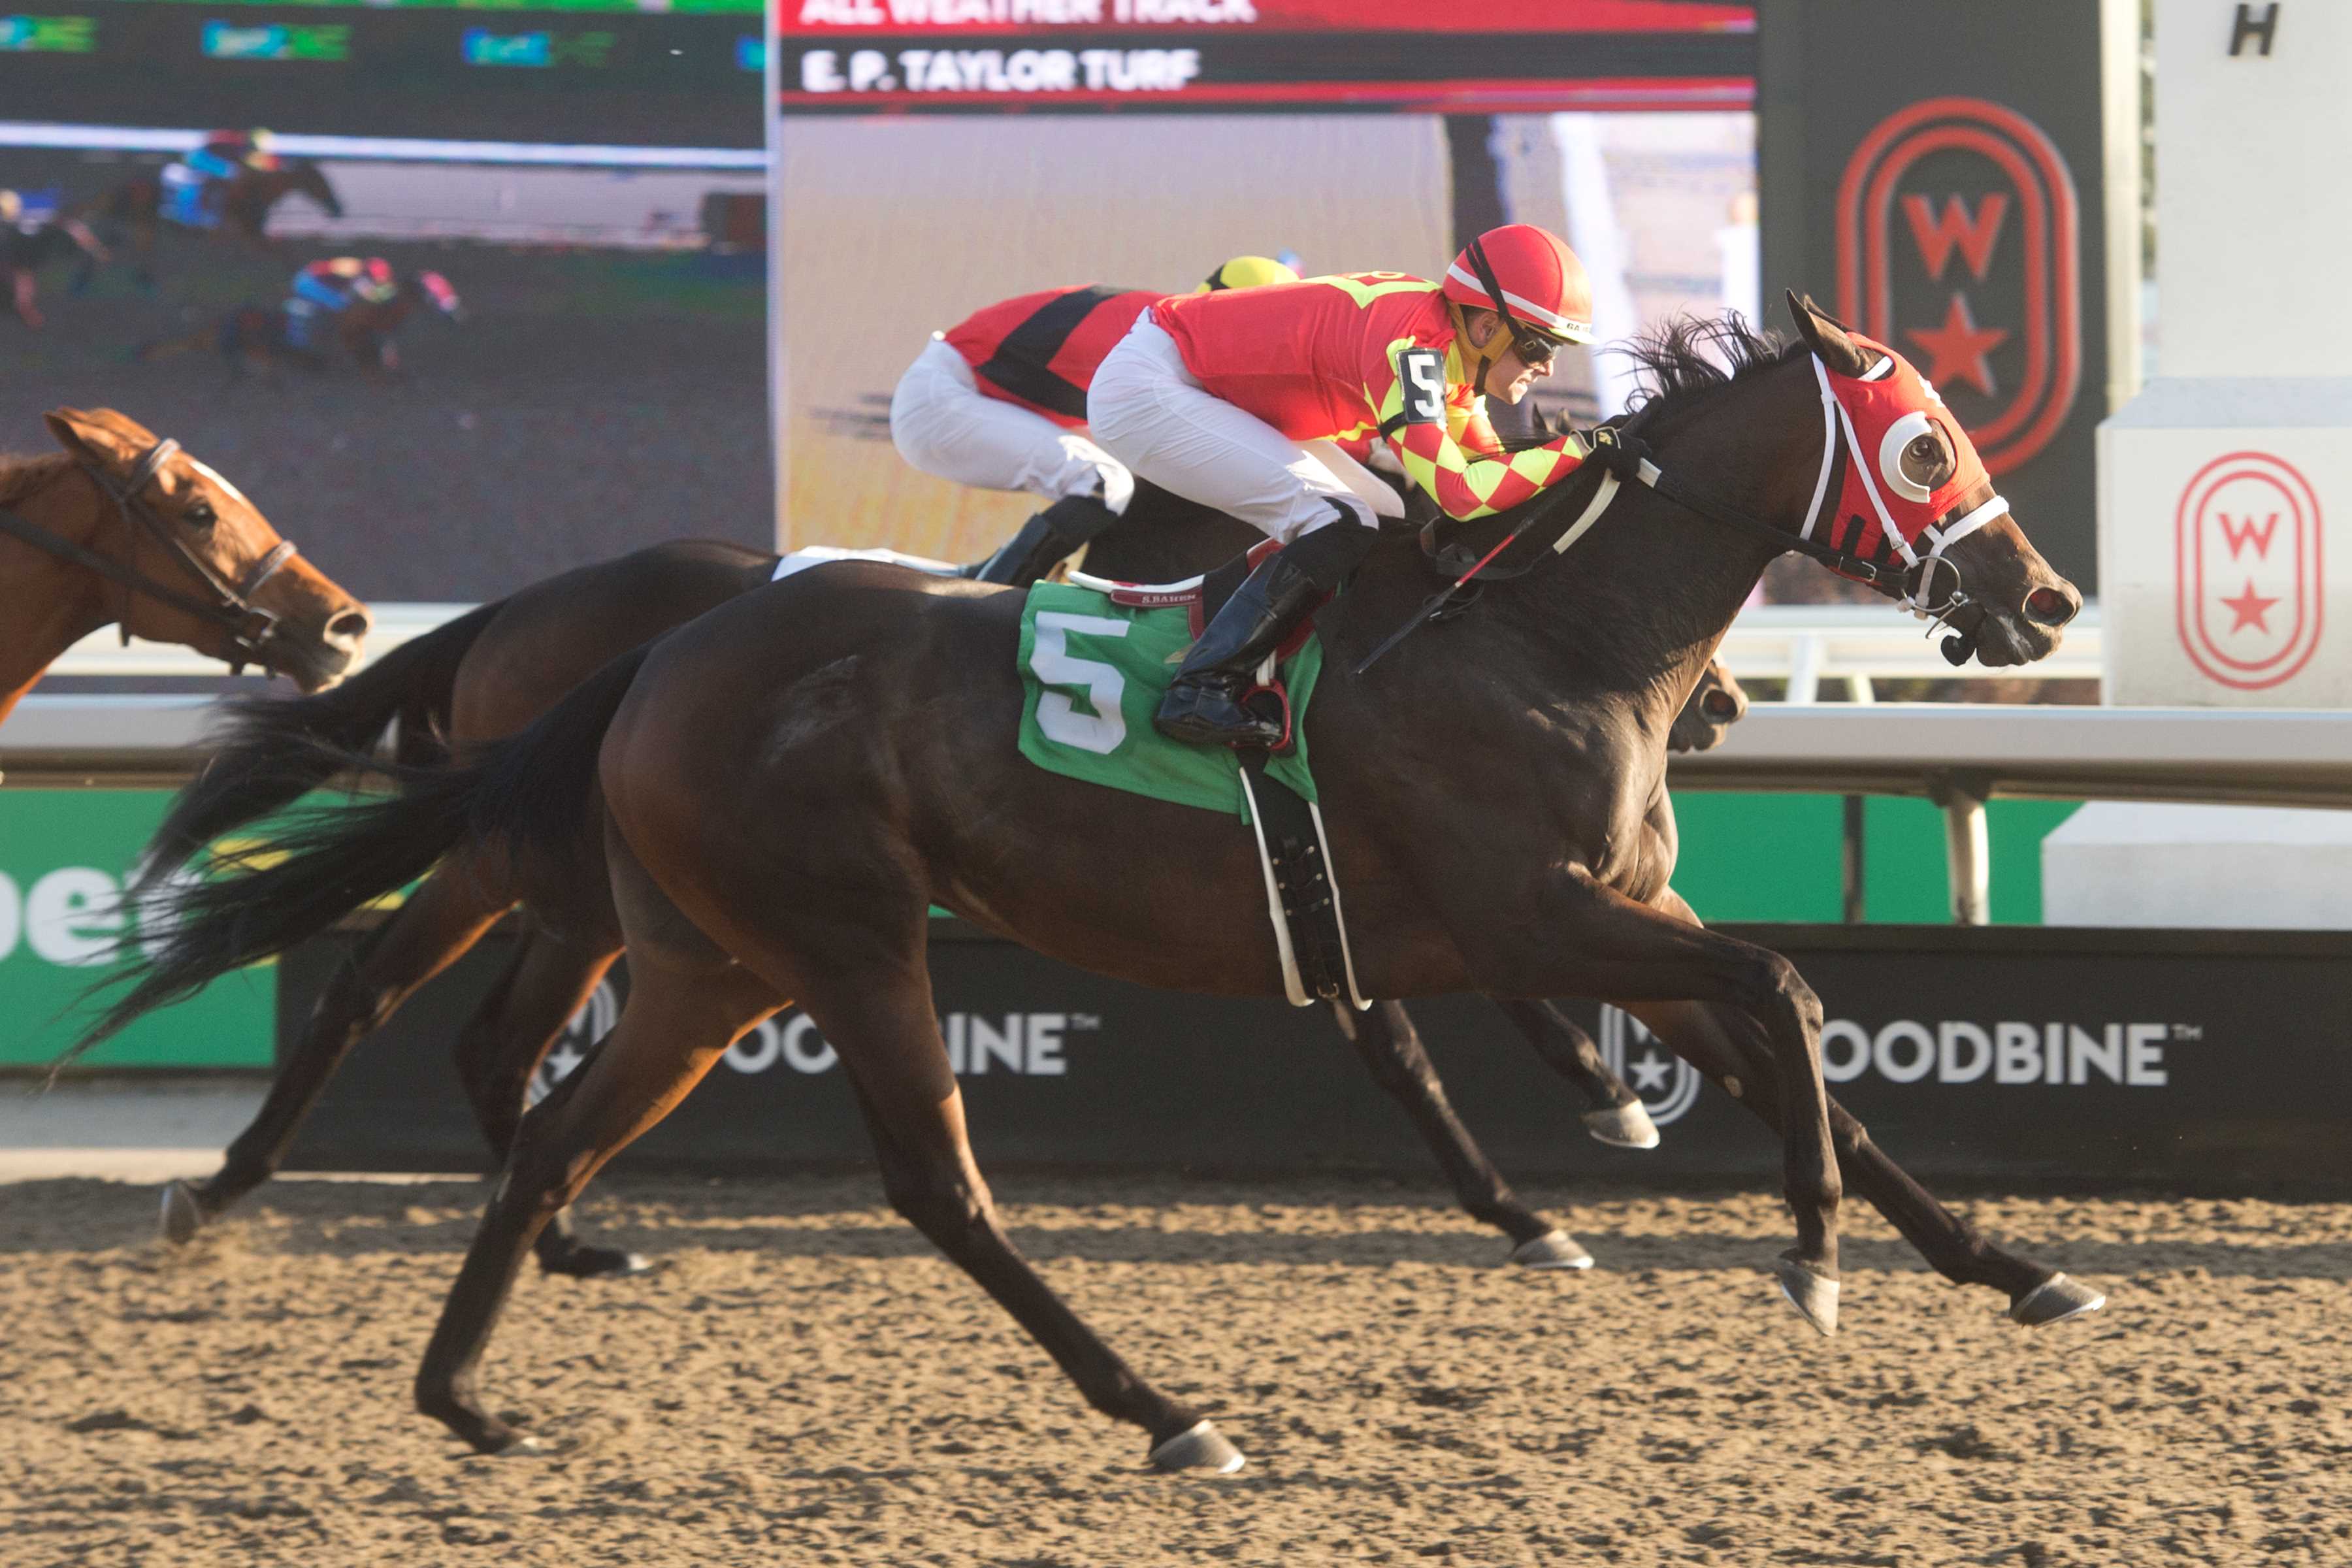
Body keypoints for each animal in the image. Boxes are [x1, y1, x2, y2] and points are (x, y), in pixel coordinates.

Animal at [69, 162, 343, 291]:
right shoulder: (250, 233)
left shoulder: (238, 237)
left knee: (112, 243)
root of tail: (125, 186)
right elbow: (284, 252)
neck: (254, 191)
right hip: (140, 222)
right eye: (320, 183)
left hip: (137, 224)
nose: (337, 208)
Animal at [123, 482, 1731, 1279]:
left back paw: (547, 1227)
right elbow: (1435, 1013)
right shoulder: (1326, 858)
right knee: (378, 988)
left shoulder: (1312, 874)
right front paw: (1578, 1148)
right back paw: (226, 1189)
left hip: (581, 894)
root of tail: (523, 604)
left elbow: (1421, 1016)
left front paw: (1576, 1140)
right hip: (539, 865)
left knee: (485, 1034)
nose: (1713, 707)